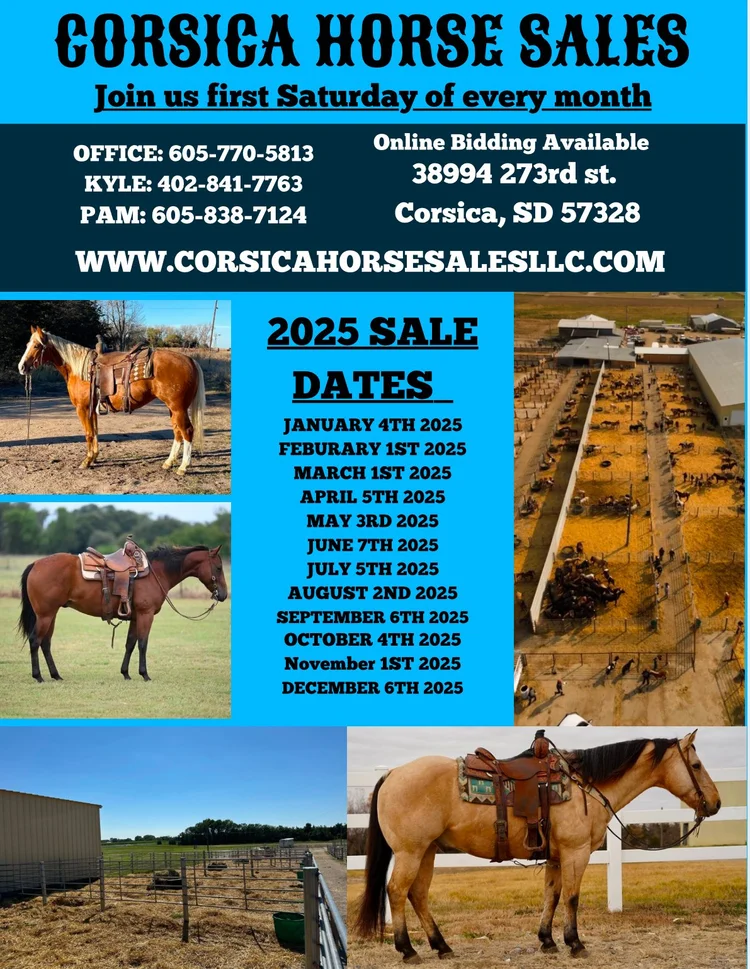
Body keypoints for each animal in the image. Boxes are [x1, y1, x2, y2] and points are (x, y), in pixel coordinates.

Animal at [17, 326, 206, 474]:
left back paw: (183, 467)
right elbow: (94, 432)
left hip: (178, 408)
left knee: (187, 431)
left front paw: (86, 461)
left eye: (36, 345)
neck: (80, 369)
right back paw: (168, 463)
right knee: (177, 432)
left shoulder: (82, 408)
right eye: (26, 345)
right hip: (172, 409)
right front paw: (94, 457)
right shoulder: (92, 408)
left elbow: (88, 433)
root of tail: (189, 359)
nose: (21, 367)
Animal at [17, 545, 228, 682]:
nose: (224, 595)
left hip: (51, 615)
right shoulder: (145, 614)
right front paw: (145, 674)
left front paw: (126, 673)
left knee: (45, 643)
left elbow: (130, 643)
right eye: (218, 567)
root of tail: (35, 564)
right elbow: (143, 643)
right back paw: (38, 677)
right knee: (35, 641)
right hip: (45, 615)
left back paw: (56, 675)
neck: (157, 572)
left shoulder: (135, 617)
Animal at [354, 733, 719, 962]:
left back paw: (441, 946)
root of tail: (392, 774)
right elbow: (571, 897)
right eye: (696, 765)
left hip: (427, 850)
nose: (715, 803)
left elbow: (552, 896)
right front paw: (575, 943)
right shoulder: (575, 853)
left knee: (418, 894)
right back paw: (408, 950)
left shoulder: (556, 857)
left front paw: (547, 941)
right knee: (397, 891)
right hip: (410, 852)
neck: (585, 786)